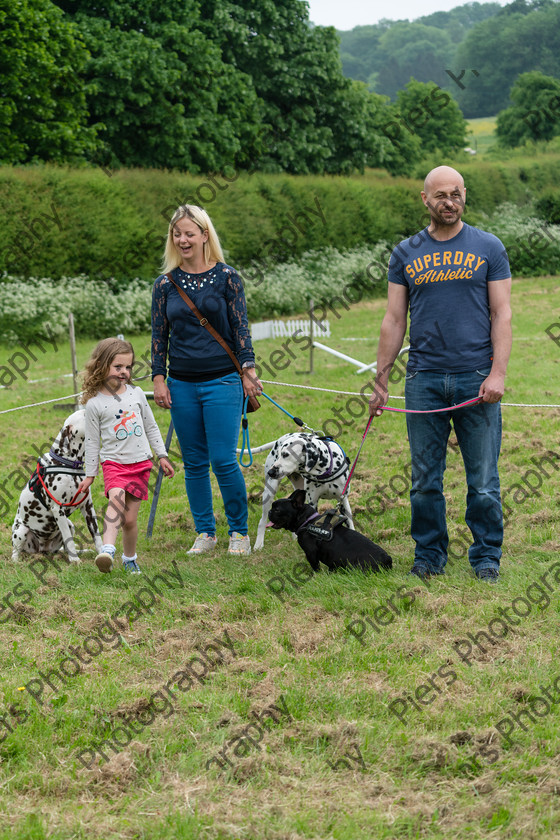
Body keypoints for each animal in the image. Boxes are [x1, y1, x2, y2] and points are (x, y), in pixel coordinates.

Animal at [11, 408, 103, 564]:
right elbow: (69, 539)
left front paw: (104, 554)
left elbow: (96, 536)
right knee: (15, 551)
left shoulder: (88, 507)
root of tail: (42, 549)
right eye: (85, 414)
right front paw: (75, 561)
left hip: (70, 524)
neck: (67, 463)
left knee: (64, 548)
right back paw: (16, 561)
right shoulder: (58, 509)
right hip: (21, 530)